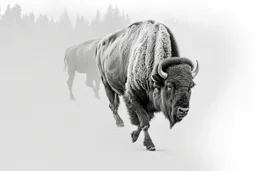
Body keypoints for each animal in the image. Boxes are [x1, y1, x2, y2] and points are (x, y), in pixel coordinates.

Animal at [95, 20, 199, 151]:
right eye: (169, 86)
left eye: (191, 86)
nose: (183, 110)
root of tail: (99, 44)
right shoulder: (133, 96)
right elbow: (144, 122)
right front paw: (150, 145)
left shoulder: (150, 103)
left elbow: (144, 121)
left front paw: (133, 136)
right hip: (106, 83)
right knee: (113, 105)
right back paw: (120, 123)